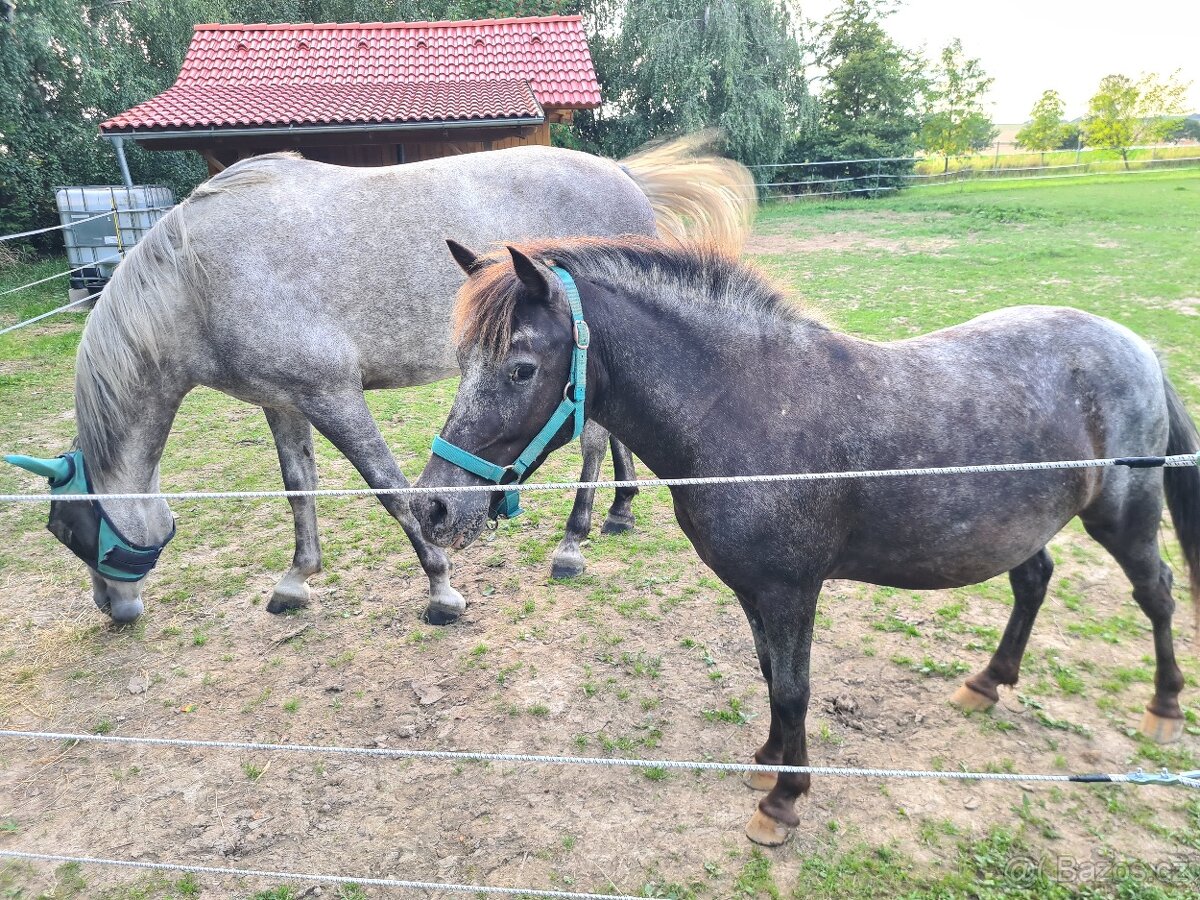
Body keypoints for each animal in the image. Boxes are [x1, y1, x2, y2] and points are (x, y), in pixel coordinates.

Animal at [4, 138, 756, 626]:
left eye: (69, 533)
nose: (114, 610)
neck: (198, 277)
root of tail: (623, 175)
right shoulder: (283, 402)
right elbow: (298, 488)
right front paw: (296, 580)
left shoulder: (331, 394)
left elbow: (390, 490)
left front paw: (442, 589)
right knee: (612, 437)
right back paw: (621, 510)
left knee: (594, 444)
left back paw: (573, 541)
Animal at [410, 236, 1200, 846]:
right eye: (464, 362)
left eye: (521, 368)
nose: (434, 506)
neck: (744, 407)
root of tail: (1137, 347)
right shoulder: (755, 591)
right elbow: (769, 676)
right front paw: (768, 759)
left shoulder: (790, 590)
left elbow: (793, 688)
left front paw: (783, 802)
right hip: (1016, 527)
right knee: (1034, 580)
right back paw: (987, 682)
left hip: (1124, 518)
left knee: (1156, 592)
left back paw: (1163, 710)